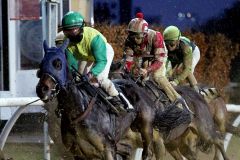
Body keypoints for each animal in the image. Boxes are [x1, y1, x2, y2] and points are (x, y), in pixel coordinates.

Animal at [35, 39, 191, 159]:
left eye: (58, 64)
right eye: (41, 65)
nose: (42, 89)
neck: (78, 110)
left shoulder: (107, 148)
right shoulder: (78, 153)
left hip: (146, 127)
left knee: (148, 152)